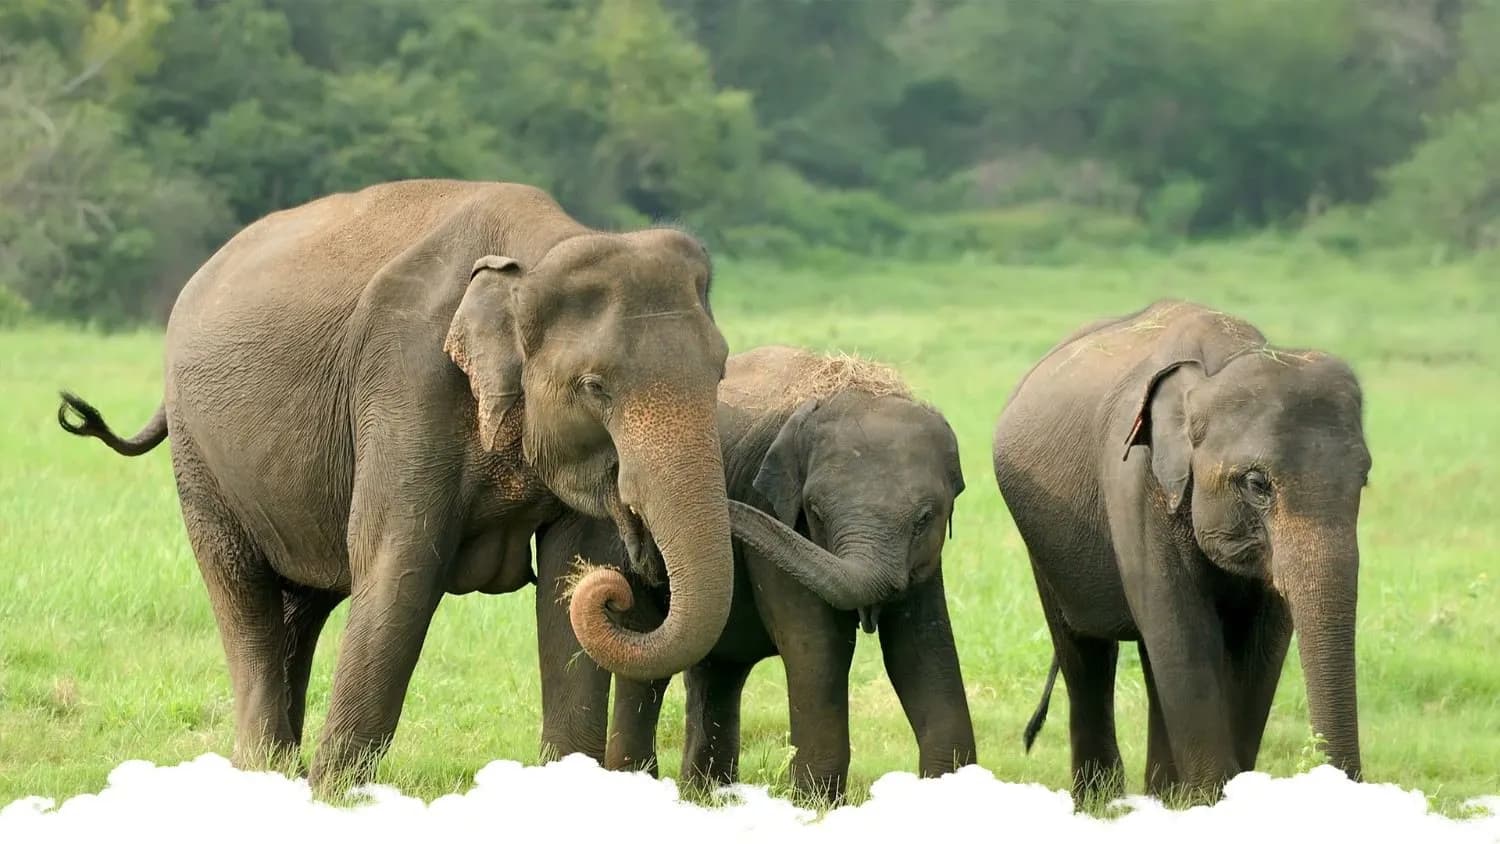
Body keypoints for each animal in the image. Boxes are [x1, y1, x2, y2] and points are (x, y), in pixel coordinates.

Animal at [54, 179, 839, 794]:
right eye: (594, 387)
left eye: (720, 371)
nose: (633, 580)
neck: (542, 248)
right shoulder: (406, 381)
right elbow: (399, 567)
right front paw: (337, 796)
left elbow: (570, 572)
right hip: (200, 459)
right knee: (243, 597)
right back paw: (267, 774)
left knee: (300, 609)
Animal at [533, 345, 977, 802]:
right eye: (815, 512)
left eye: (925, 518)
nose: (633, 505)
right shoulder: (778, 523)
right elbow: (819, 648)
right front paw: (816, 803)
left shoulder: (926, 563)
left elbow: (920, 650)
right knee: (648, 662)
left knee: (717, 670)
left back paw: (709, 795)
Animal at [991, 299, 1371, 805]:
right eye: (1257, 484)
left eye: (1363, 480)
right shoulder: (1136, 483)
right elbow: (1184, 635)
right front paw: (1212, 801)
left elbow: (1260, 647)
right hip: (1044, 545)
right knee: (1084, 649)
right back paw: (1101, 801)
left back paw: (1161, 796)